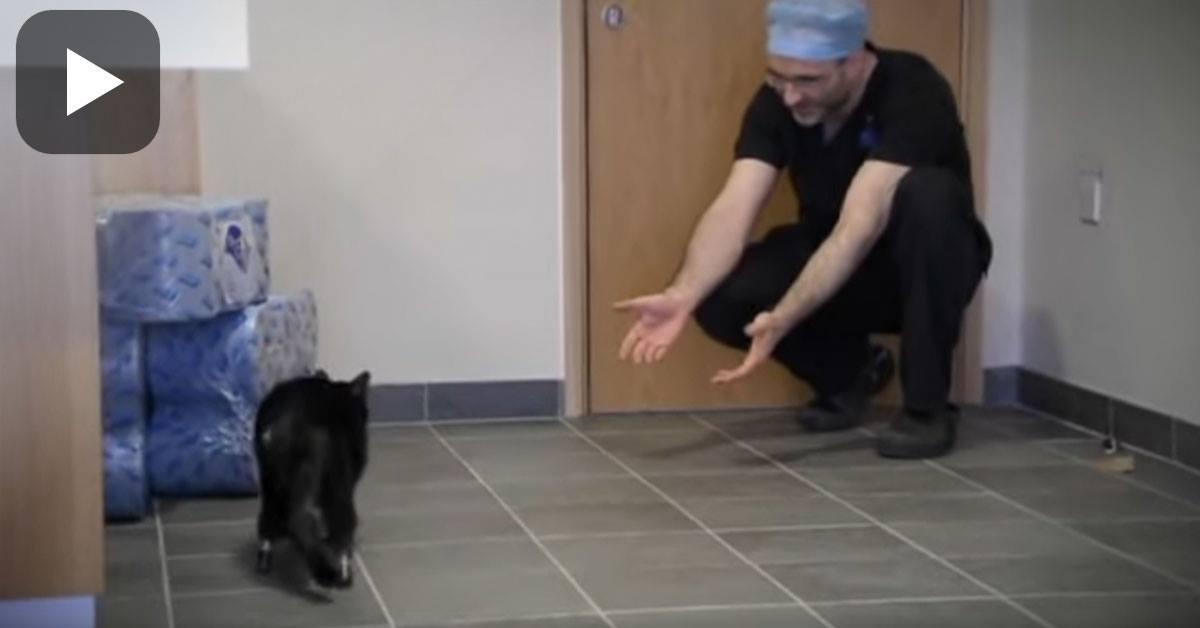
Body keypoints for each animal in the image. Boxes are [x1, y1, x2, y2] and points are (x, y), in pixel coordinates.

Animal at [253, 369, 371, 589]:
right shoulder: (343, 480)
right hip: (323, 473)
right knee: (311, 519)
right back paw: (336, 573)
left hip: (269, 478)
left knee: (269, 517)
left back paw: (265, 558)